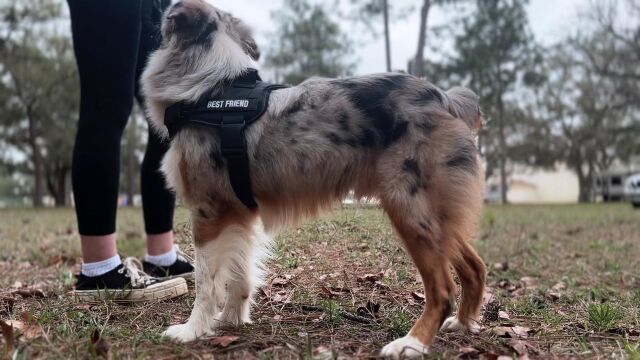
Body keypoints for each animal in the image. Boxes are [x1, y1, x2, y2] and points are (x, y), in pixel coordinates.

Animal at [144, 0, 484, 358]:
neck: (209, 90)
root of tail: (442, 97)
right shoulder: (239, 213)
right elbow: (240, 272)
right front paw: (232, 320)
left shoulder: (207, 211)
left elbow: (205, 281)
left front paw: (192, 330)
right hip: (434, 215)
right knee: (475, 268)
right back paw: (463, 324)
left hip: (410, 208)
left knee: (443, 289)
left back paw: (412, 342)